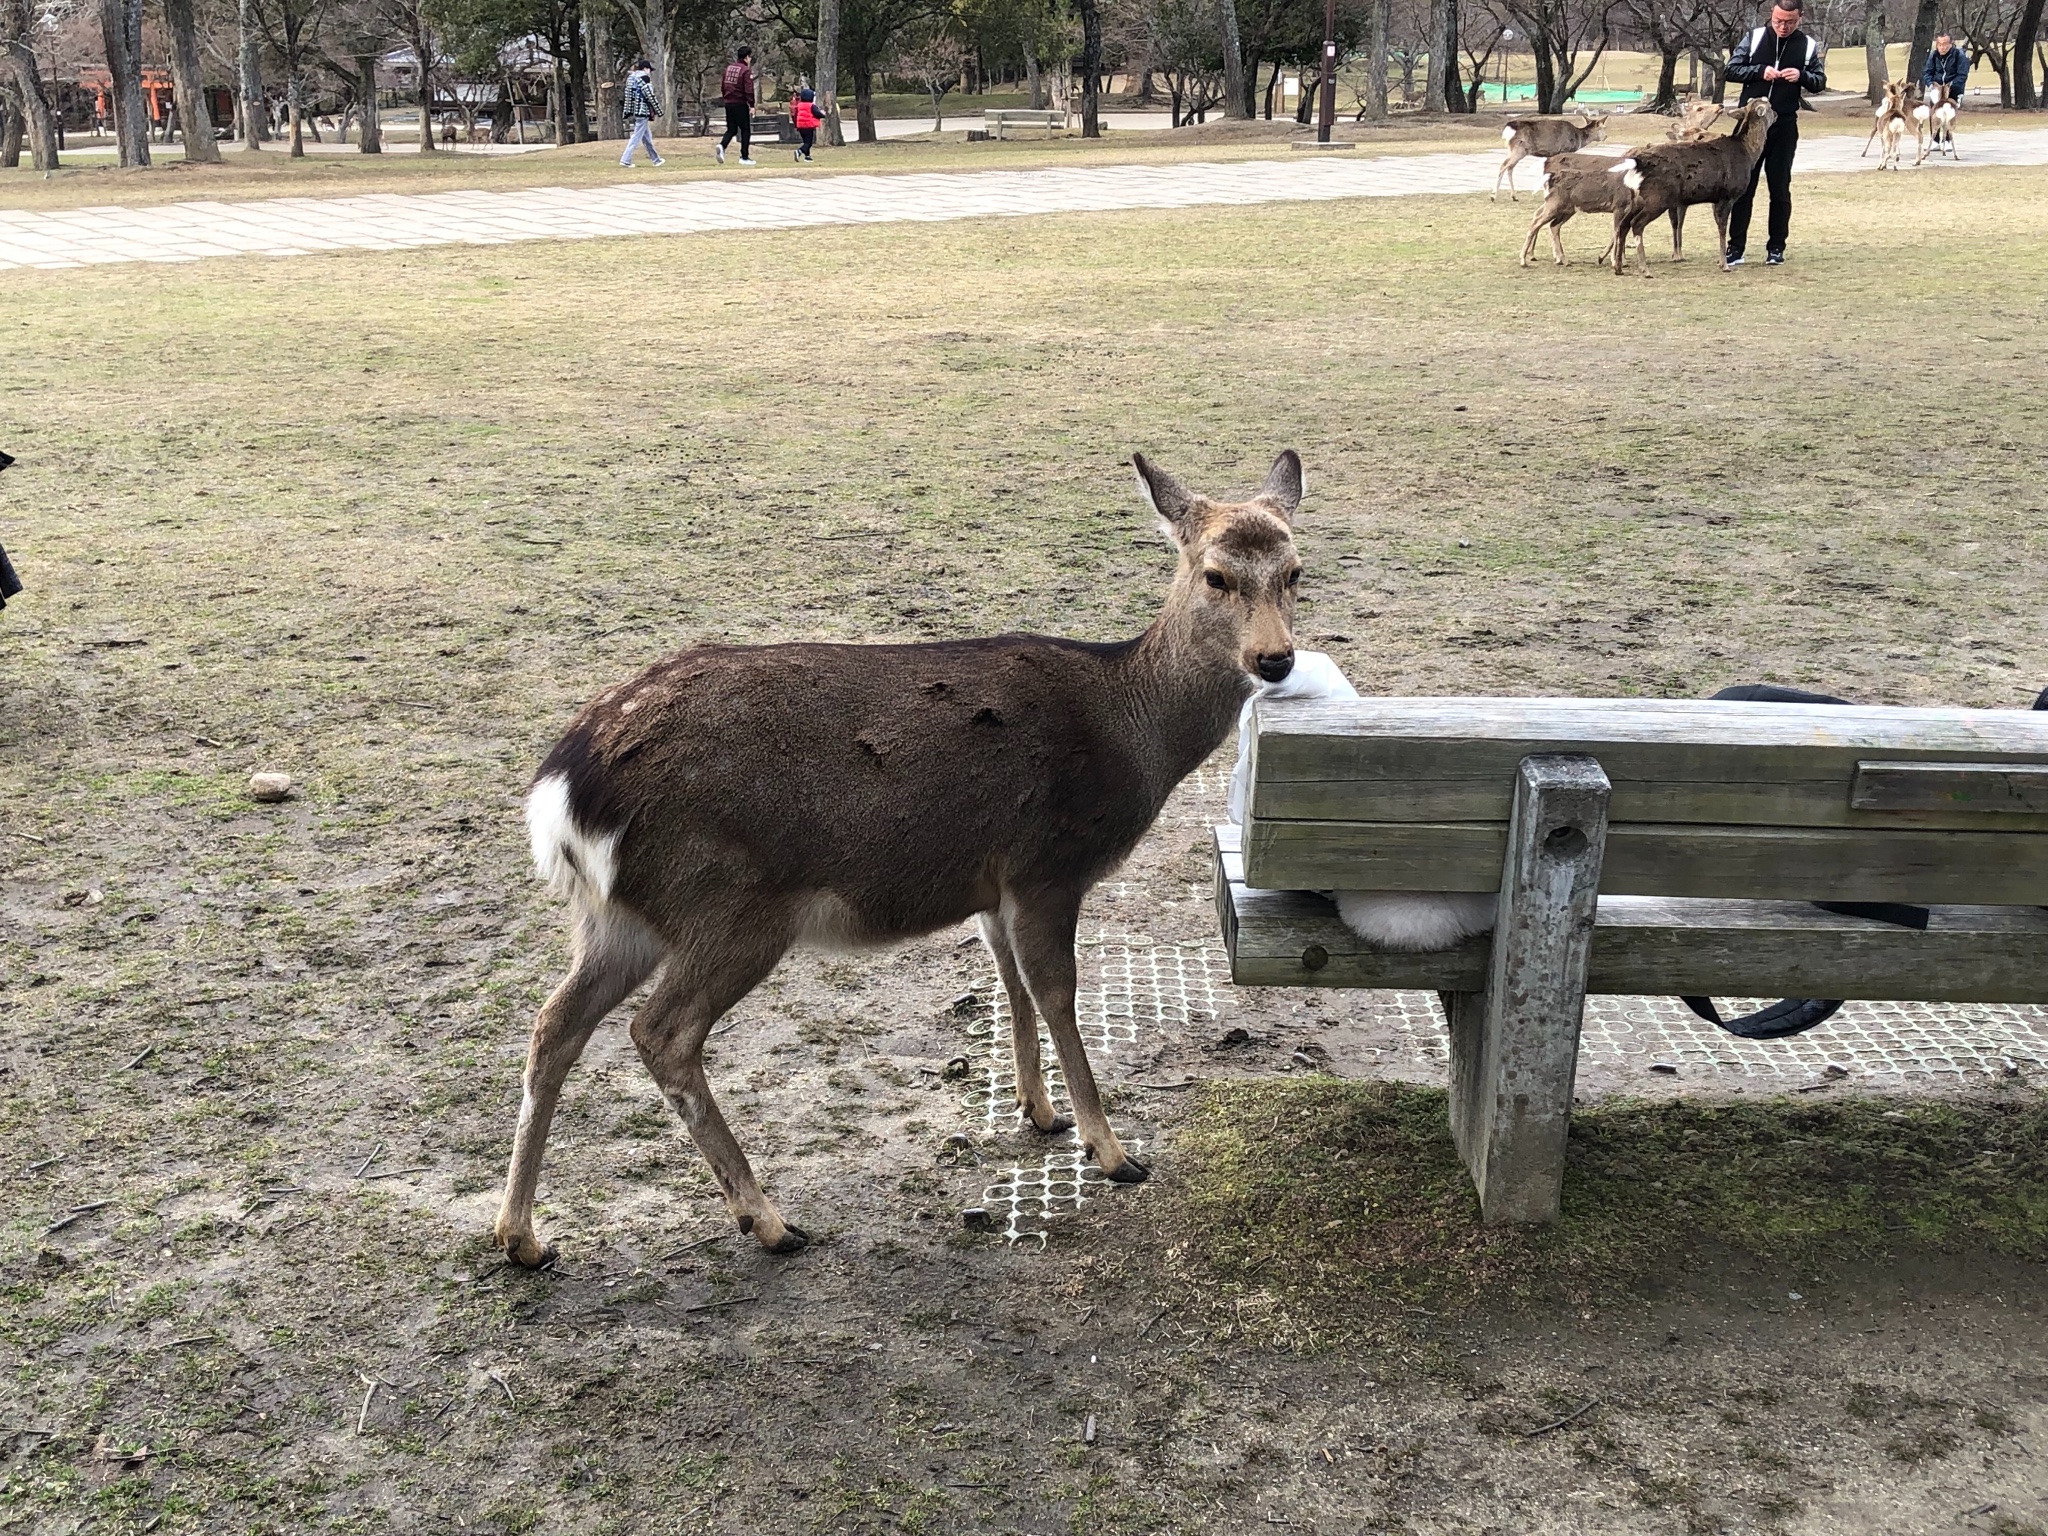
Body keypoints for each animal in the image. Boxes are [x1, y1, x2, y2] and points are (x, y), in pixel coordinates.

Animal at [487, 450, 1302, 1269]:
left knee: (554, 1024)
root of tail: (565, 790)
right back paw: (768, 1220)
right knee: (662, 1033)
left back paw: (522, 1236)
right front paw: (1111, 1150)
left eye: (1296, 570)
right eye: (1215, 576)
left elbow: (1010, 986)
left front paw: (1040, 1112)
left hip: (620, 915)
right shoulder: (1048, 864)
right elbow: (1057, 994)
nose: (1275, 658)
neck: (1131, 736)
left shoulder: (993, 884)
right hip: (732, 901)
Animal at [1605, 97, 1785, 276]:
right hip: (1657, 197)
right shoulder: (1727, 194)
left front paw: (1720, 261)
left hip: (1637, 199)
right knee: (1636, 223)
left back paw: (1618, 266)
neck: (1748, 155)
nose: (1777, 114)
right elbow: (1722, 229)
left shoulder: (1715, 198)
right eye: (1769, 106)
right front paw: (1724, 265)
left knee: (1623, 224)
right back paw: (1644, 268)